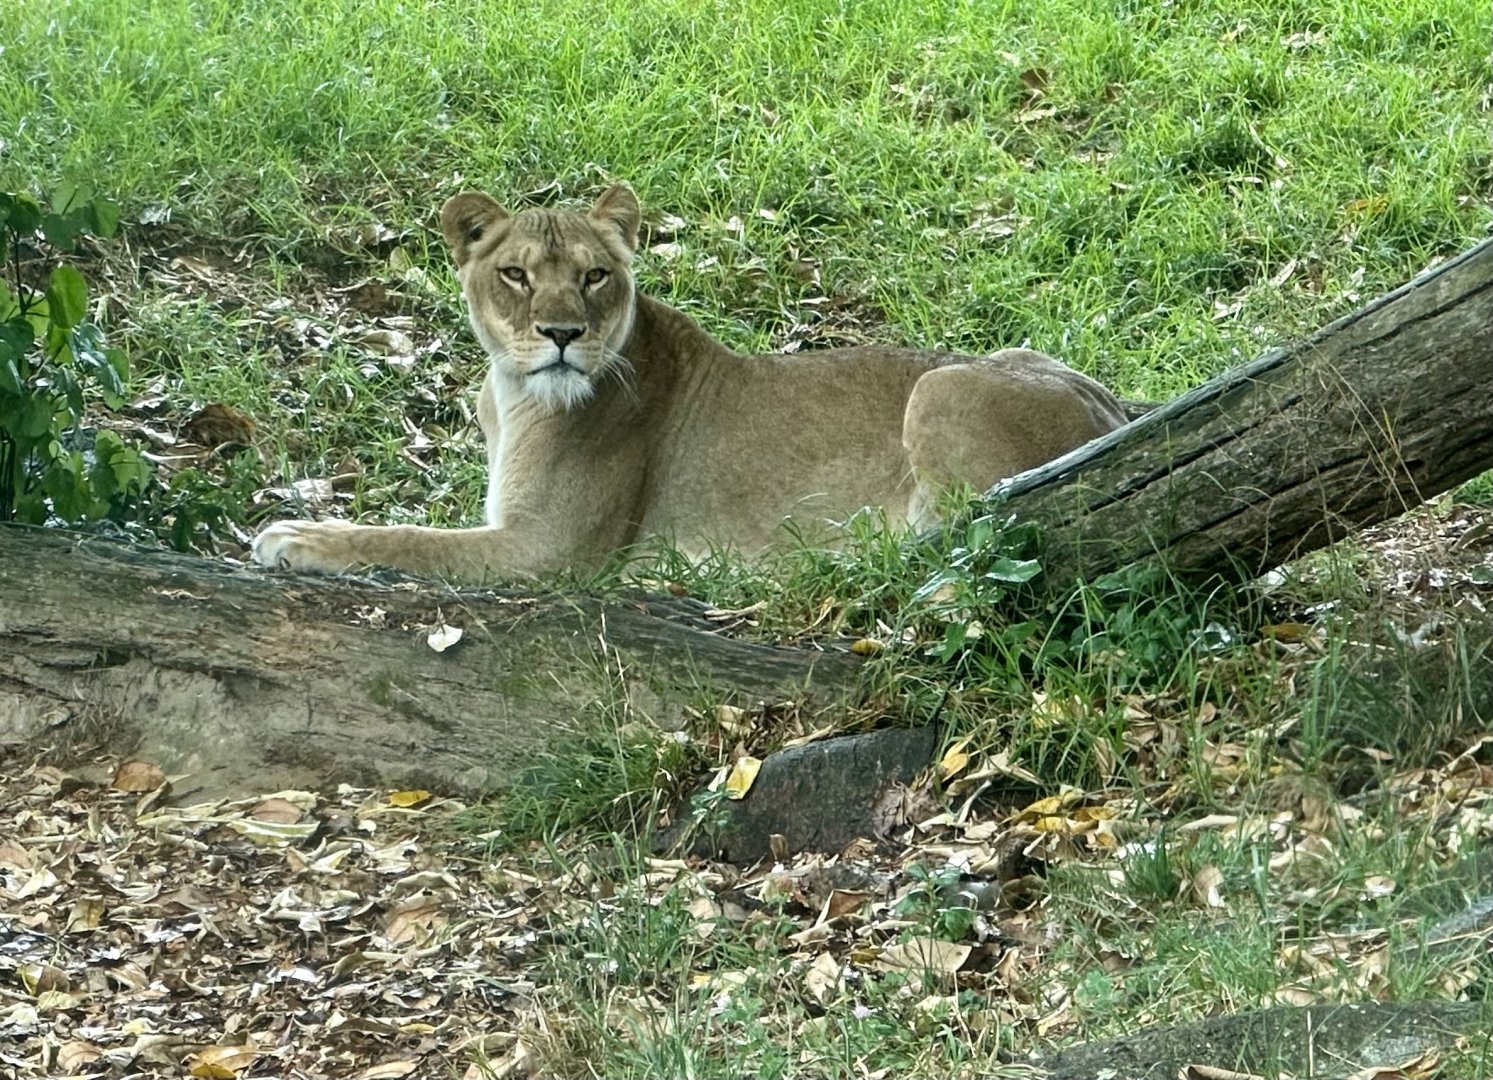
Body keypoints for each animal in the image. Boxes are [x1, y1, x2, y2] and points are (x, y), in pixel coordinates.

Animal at [252, 184, 1128, 582]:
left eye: (595, 276)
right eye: (515, 275)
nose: (563, 335)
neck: (511, 394)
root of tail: (1115, 407)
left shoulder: (548, 551)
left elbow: (408, 538)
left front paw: (300, 536)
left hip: (939, 389)